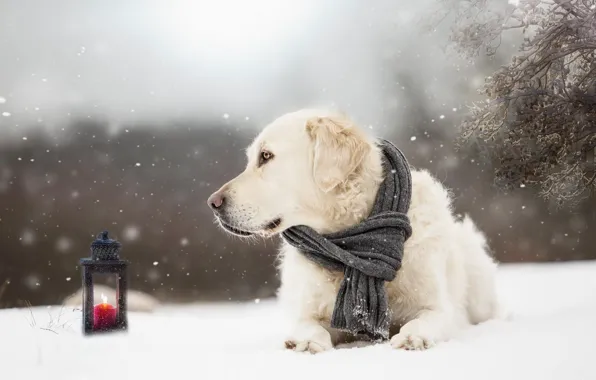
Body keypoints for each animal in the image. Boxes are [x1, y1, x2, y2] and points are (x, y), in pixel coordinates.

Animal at [207, 108, 500, 352]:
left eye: (266, 156)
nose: (213, 203)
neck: (351, 242)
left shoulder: (439, 307)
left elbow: (426, 319)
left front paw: (412, 336)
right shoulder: (312, 311)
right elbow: (309, 324)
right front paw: (307, 341)